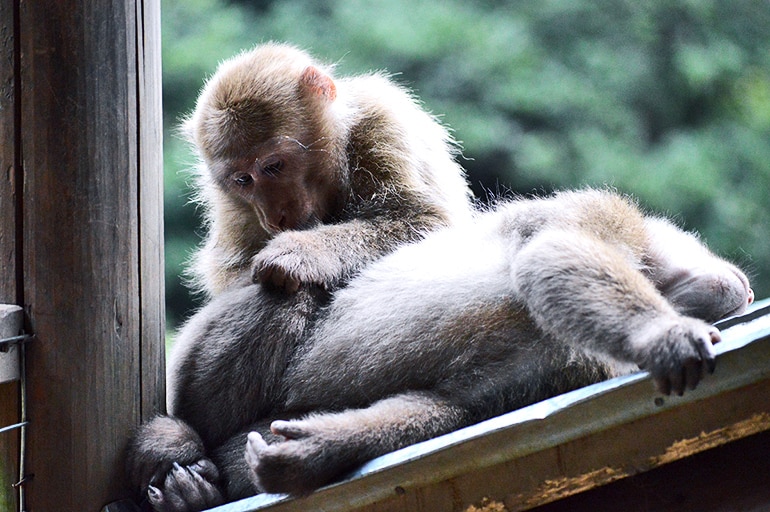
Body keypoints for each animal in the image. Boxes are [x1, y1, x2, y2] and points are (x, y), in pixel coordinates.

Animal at [127, 190, 752, 510]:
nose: (743, 288)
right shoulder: (602, 212)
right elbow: (551, 249)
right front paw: (664, 335)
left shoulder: (565, 367)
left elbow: (451, 405)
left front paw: (316, 451)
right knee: (287, 293)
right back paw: (187, 446)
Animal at [184, 42, 474, 298]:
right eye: (244, 179)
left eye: (273, 166)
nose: (273, 218)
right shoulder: (231, 206)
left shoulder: (381, 126)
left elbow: (425, 221)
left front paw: (302, 251)